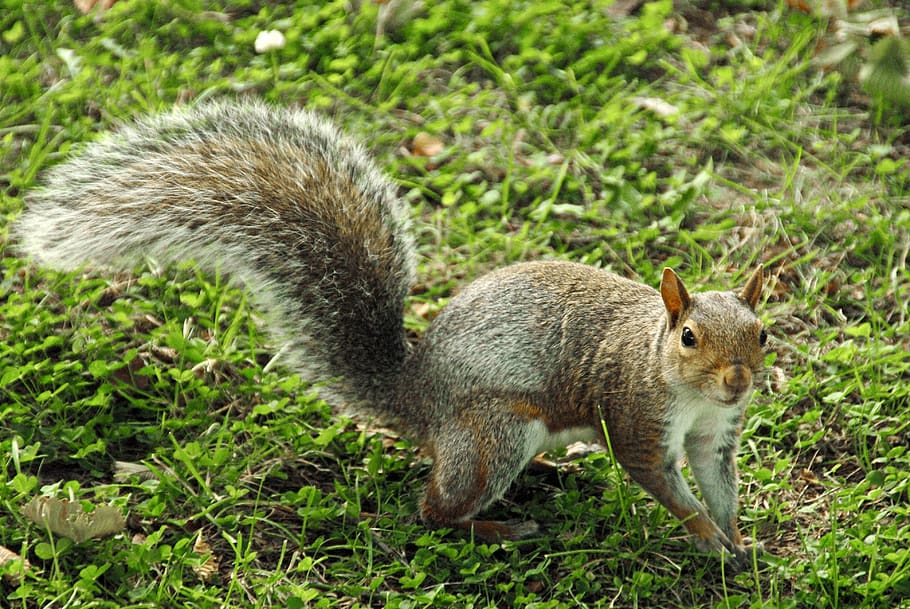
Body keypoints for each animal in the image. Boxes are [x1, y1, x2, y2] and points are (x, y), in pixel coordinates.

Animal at [14, 100, 768, 565]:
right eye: (689, 337)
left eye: (762, 334)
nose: (737, 382)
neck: (689, 393)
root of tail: (414, 397)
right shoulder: (638, 414)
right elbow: (659, 479)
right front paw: (705, 536)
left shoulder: (714, 435)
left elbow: (717, 480)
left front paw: (738, 537)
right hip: (494, 434)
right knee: (433, 510)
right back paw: (500, 526)